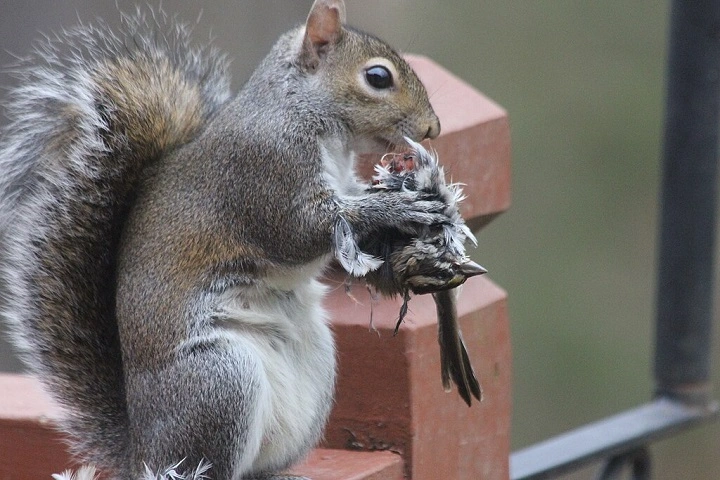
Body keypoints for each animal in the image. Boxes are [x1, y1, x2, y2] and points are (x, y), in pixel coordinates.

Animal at [0, 1, 446, 479]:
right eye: (377, 77)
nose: (433, 128)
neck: (301, 109)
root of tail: (143, 454)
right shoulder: (265, 171)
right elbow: (298, 233)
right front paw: (396, 208)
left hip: (314, 368)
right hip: (220, 382)